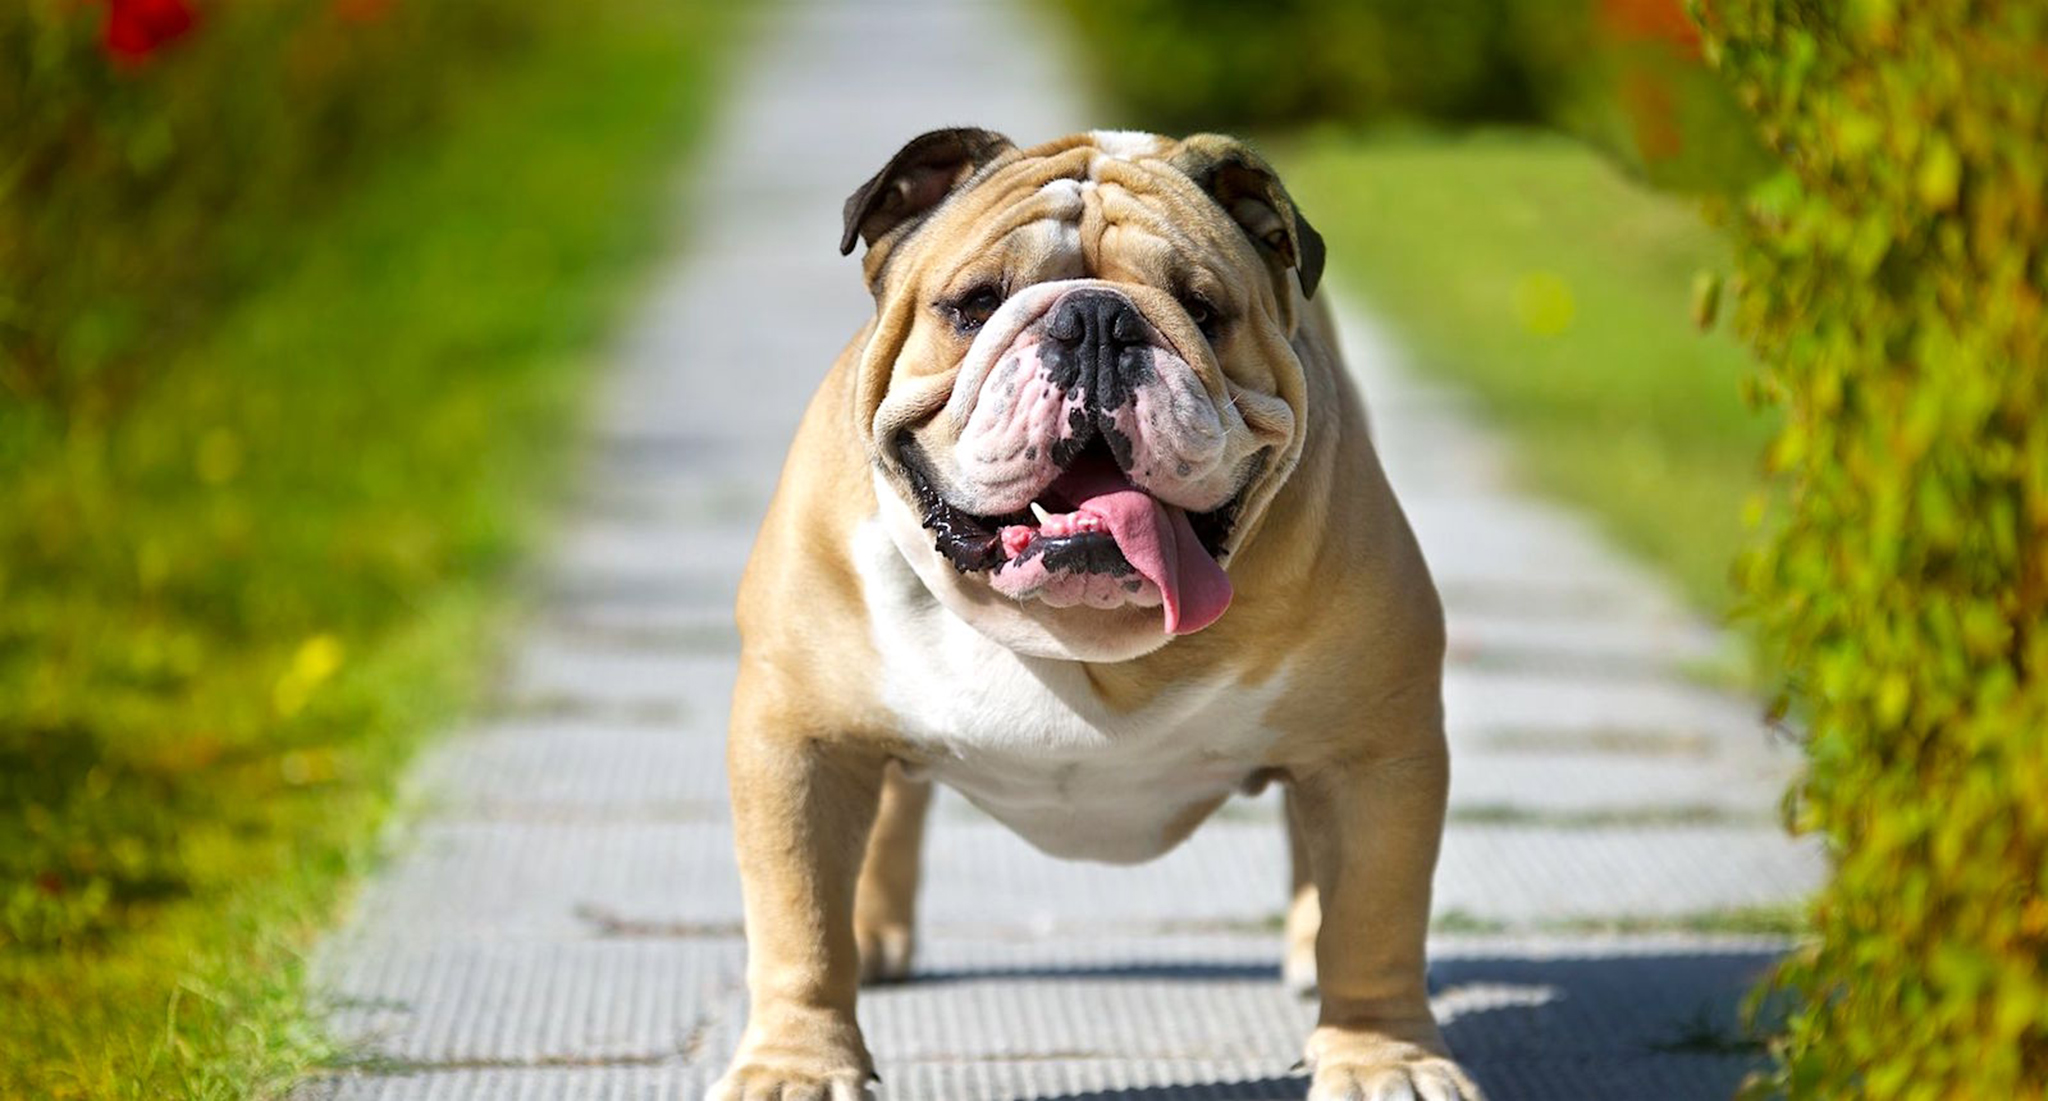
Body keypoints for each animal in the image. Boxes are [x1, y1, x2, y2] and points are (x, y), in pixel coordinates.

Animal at [712, 130, 1482, 1096]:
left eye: (1203, 309)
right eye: (975, 305)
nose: (1097, 322)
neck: (1078, 634)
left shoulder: (1376, 751)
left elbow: (1376, 917)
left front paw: (1387, 1060)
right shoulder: (801, 740)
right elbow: (798, 919)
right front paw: (798, 1068)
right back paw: (875, 934)